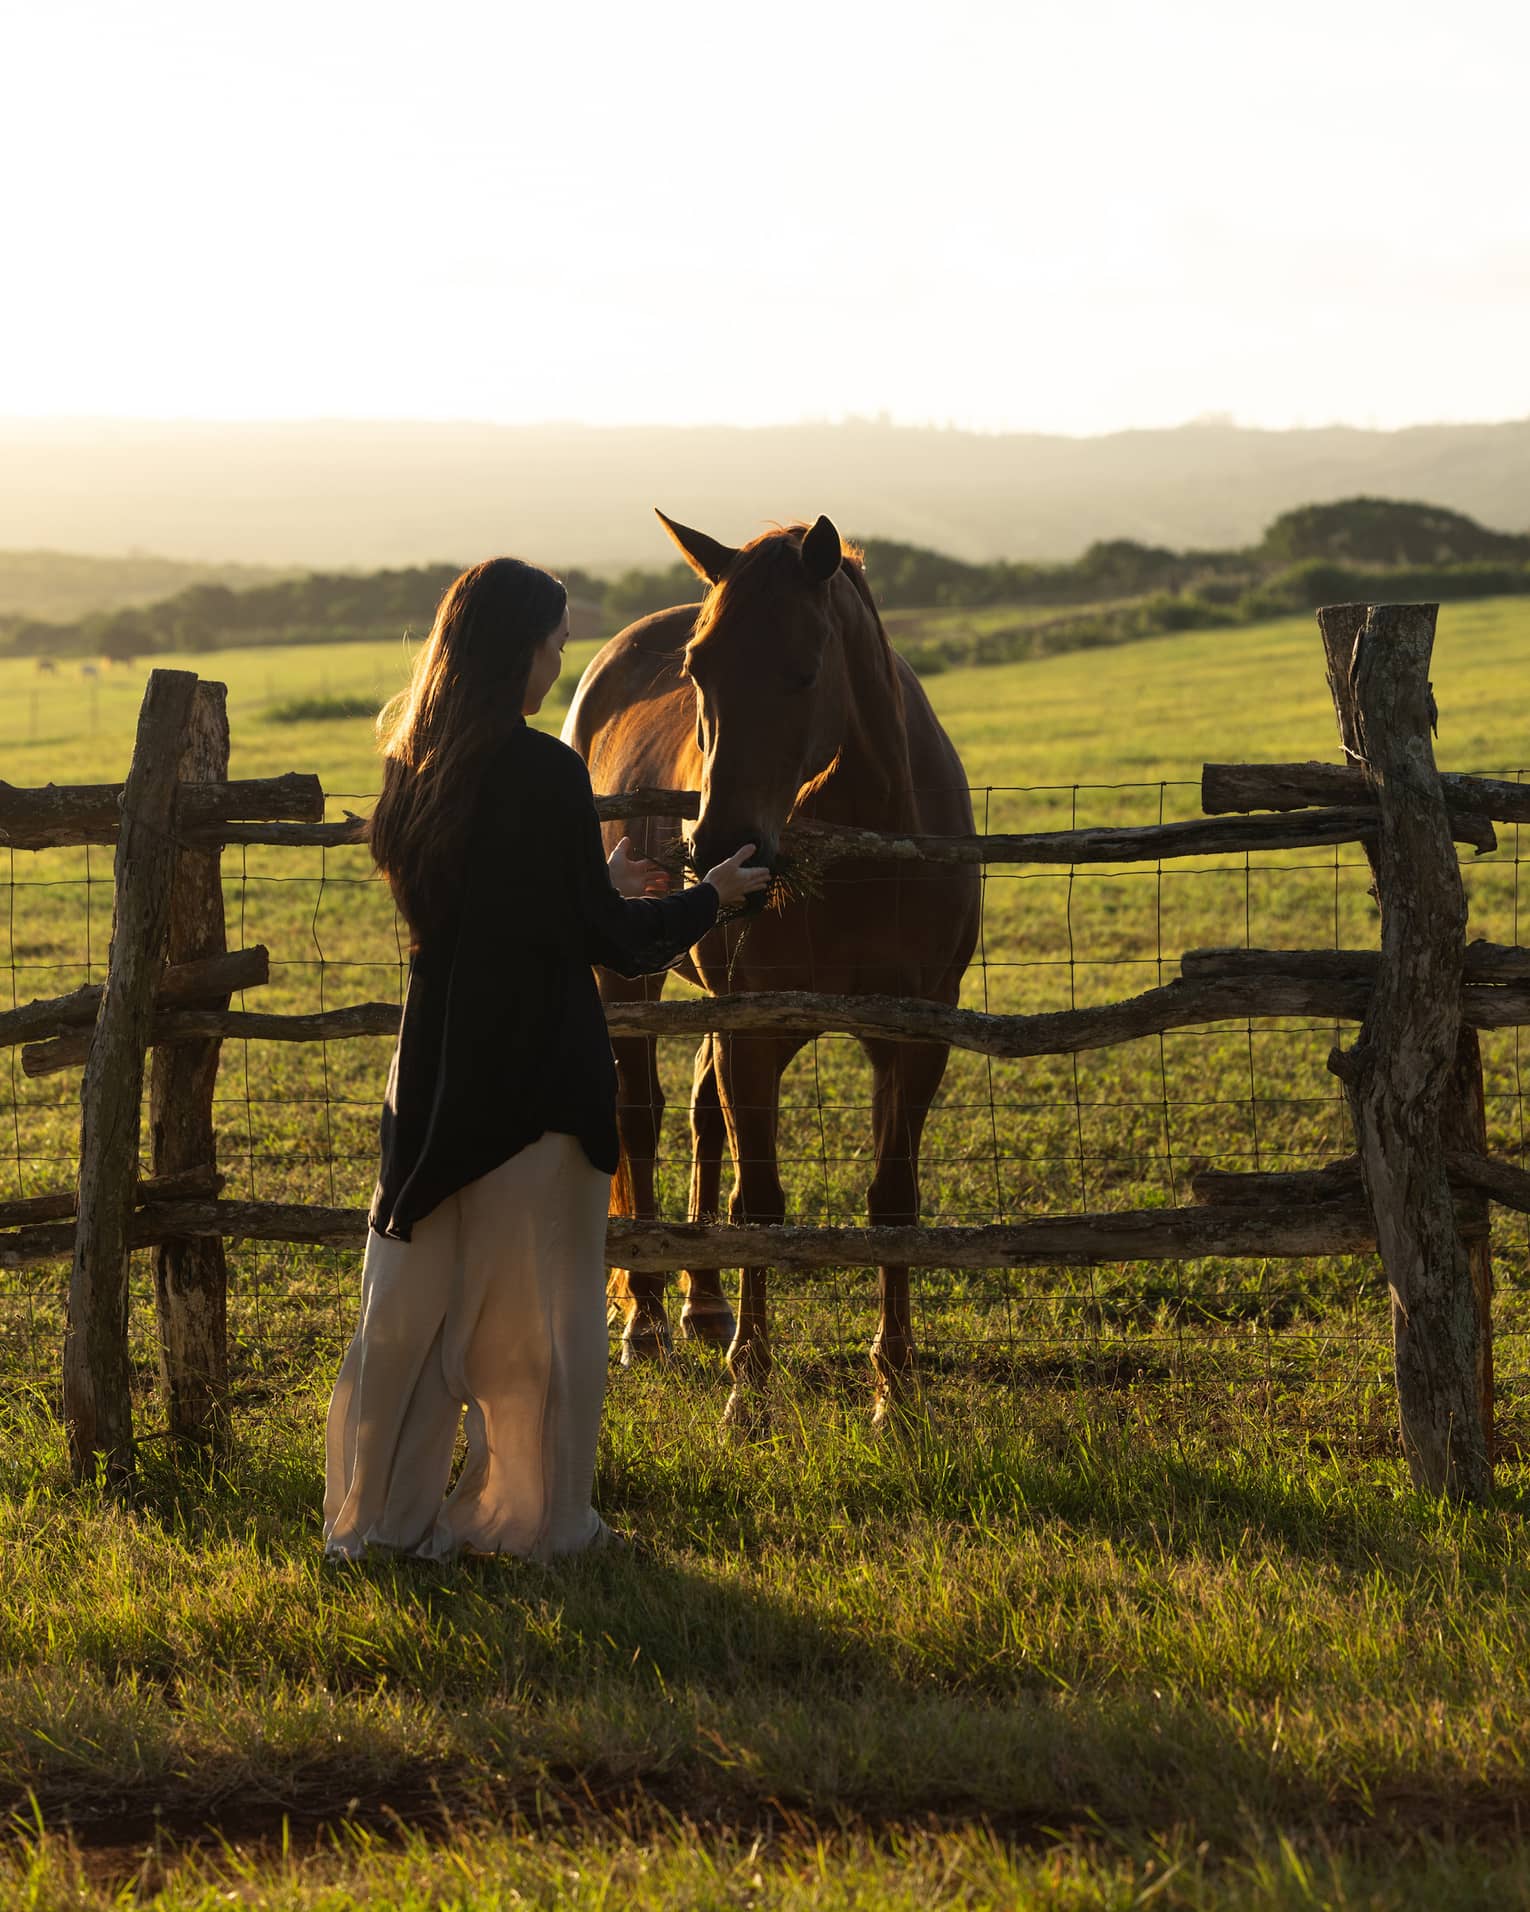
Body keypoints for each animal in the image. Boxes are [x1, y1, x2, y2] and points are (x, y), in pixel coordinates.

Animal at [562, 512, 980, 1422]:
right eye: (698, 670)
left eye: (804, 669)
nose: (720, 848)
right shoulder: (754, 1037)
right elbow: (760, 1202)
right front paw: (749, 1389)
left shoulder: (915, 1037)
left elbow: (893, 1200)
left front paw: (896, 1387)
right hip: (632, 984)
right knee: (639, 1121)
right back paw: (648, 1317)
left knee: (697, 1117)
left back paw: (703, 1304)